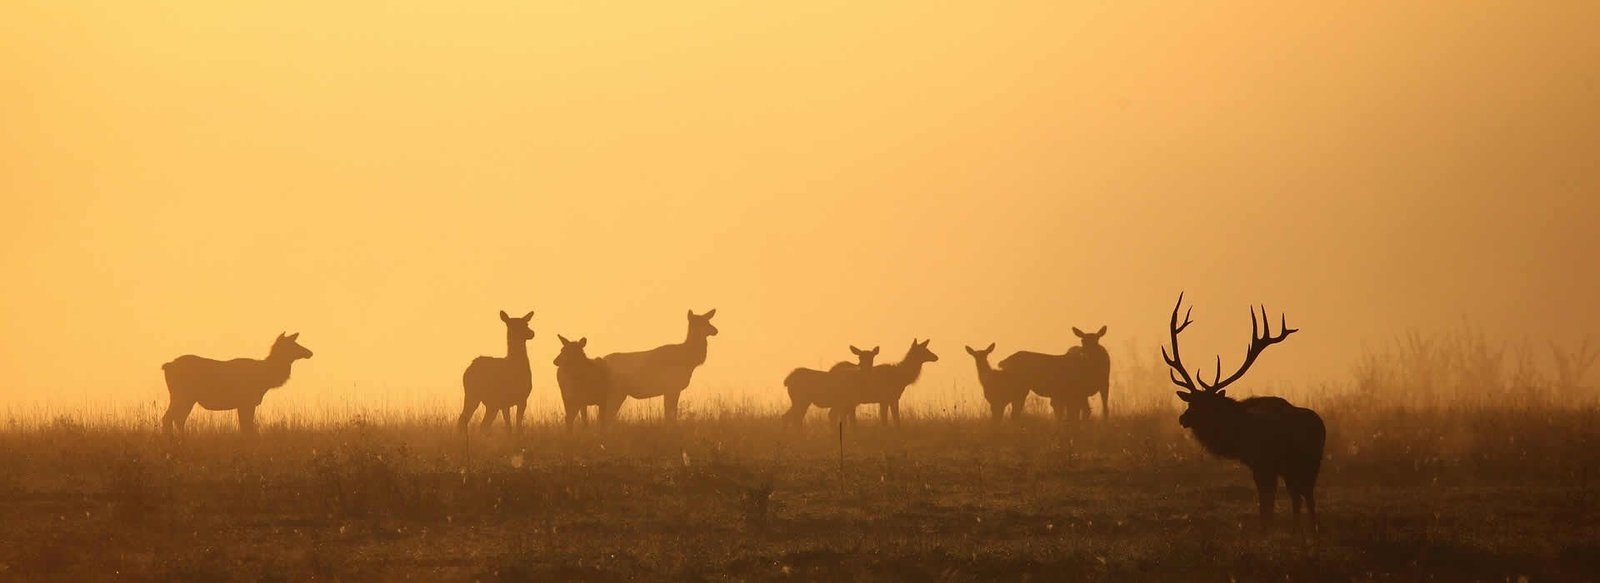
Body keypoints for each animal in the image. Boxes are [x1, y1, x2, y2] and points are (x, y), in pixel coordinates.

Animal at [161, 332, 314, 435]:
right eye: (292, 344)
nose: (310, 352)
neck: (266, 379)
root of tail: (166, 366)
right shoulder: (246, 402)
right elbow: (247, 427)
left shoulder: (244, 403)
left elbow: (245, 427)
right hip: (183, 396)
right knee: (171, 418)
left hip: (184, 398)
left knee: (175, 418)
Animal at [1161, 293, 1325, 531]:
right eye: (1191, 402)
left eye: (1207, 405)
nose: (1183, 418)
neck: (1238, 437)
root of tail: (1321, 427)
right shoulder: (1266, 466)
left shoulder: (1263, 463)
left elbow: (1266, 502)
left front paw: (1266, 529)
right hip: (1301, 465)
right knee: (1301, 496)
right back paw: (1302, 530)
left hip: (1305, 462)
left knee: (1306, 495)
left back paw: (1310, 530)